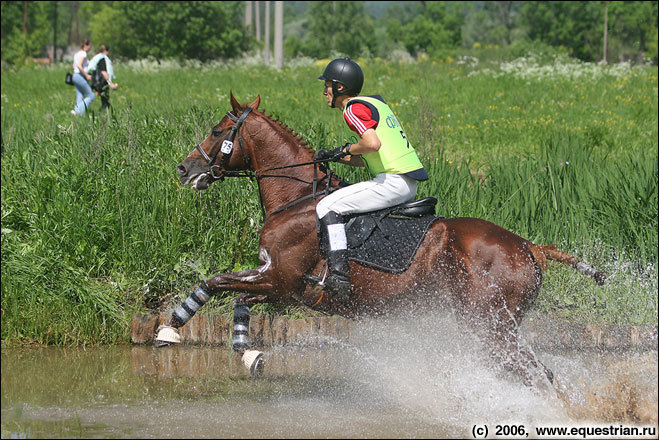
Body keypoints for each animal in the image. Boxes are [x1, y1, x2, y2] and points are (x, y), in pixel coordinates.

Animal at [161, 92, 608, 384]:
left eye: (216, 130)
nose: (184, 169)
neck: (297, 198)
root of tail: (529, 247)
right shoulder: (278, 284)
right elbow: (229, 291)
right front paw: (245, 352)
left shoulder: (283, 281)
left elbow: (219, 283)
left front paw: (172, 327)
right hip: (497, 328)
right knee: (540, 373)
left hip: (489, 328)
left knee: (537, 374)